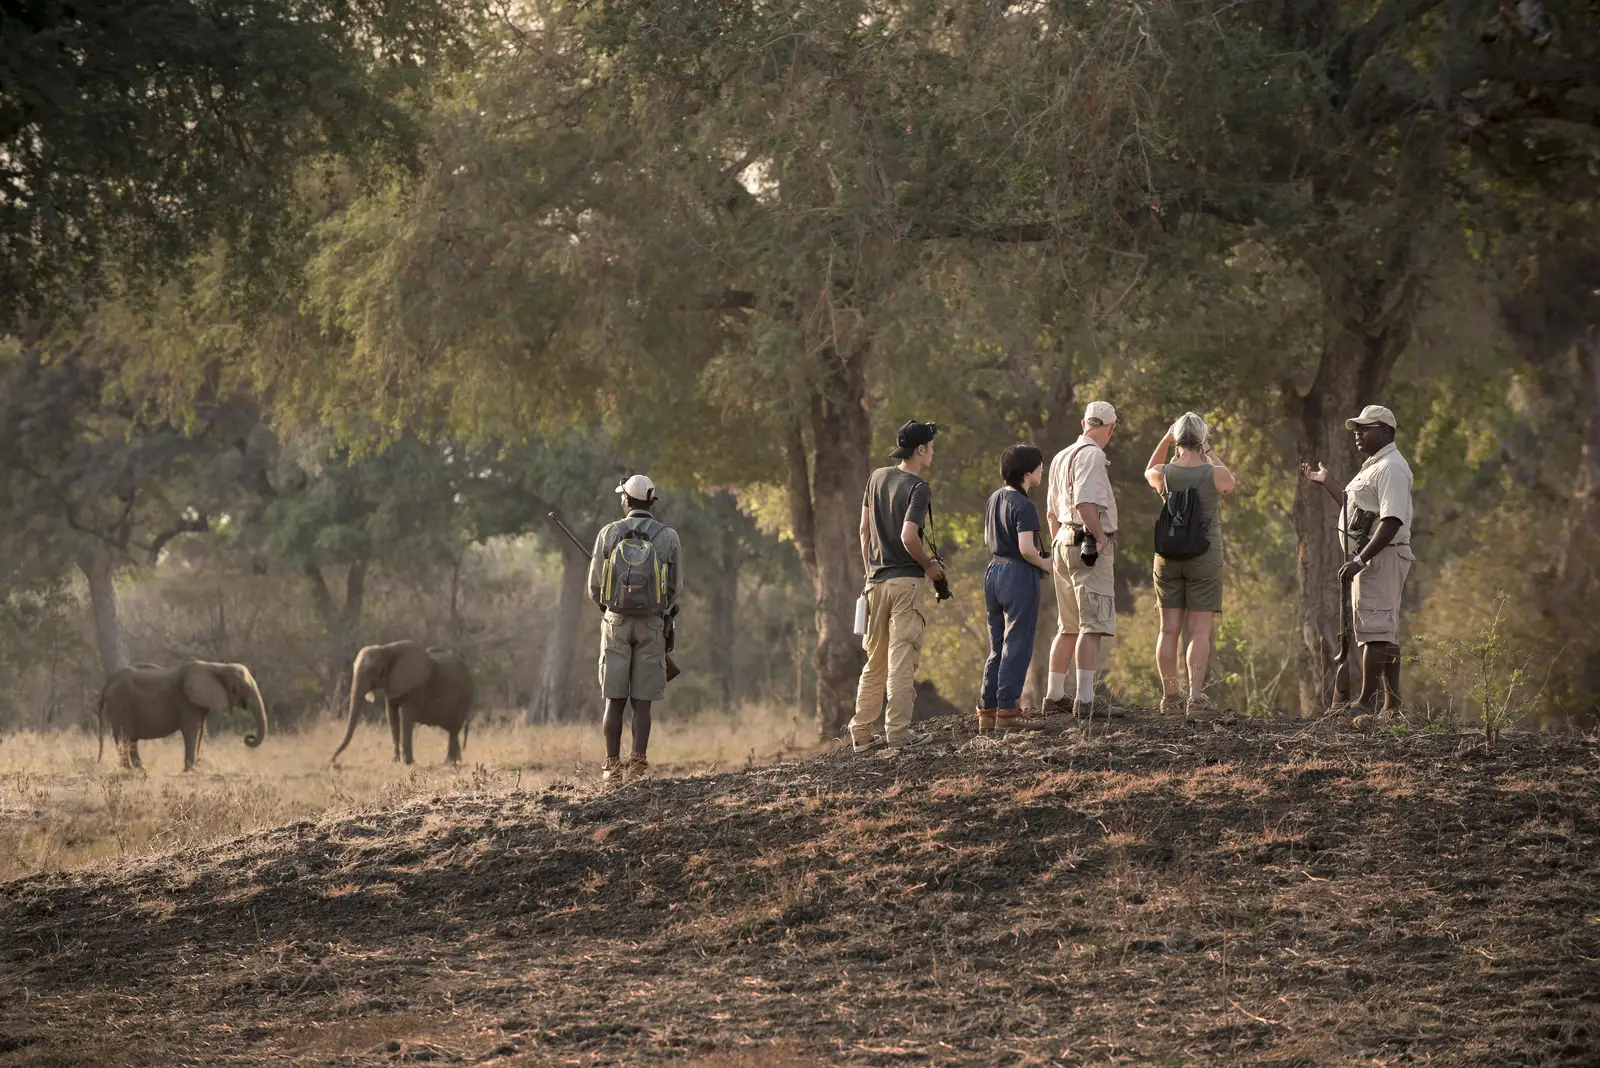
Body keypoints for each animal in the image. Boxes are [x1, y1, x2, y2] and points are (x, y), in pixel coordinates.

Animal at [97, 658, 268, 767]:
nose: (249, 738)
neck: (218, 667)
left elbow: (200, 731)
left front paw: (196, 767)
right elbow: (192, 730)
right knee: (124, 735)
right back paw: (130, 769)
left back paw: (140, 768)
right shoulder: (187, 701)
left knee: (129, 738)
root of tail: (109, 681)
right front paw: (191, 769)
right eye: (243, 687)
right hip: (120, 703)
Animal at [328, 639, 470, 764]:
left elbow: (405, 717)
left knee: (454, 729)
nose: (332, 760)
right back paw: (455, 761)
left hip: (464, 696)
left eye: (374, 671)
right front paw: (395, 761)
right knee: (452, 730)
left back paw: (450, 762)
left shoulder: (413, 687)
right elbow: (391, 716)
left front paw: (407, 762)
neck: (386, 650)